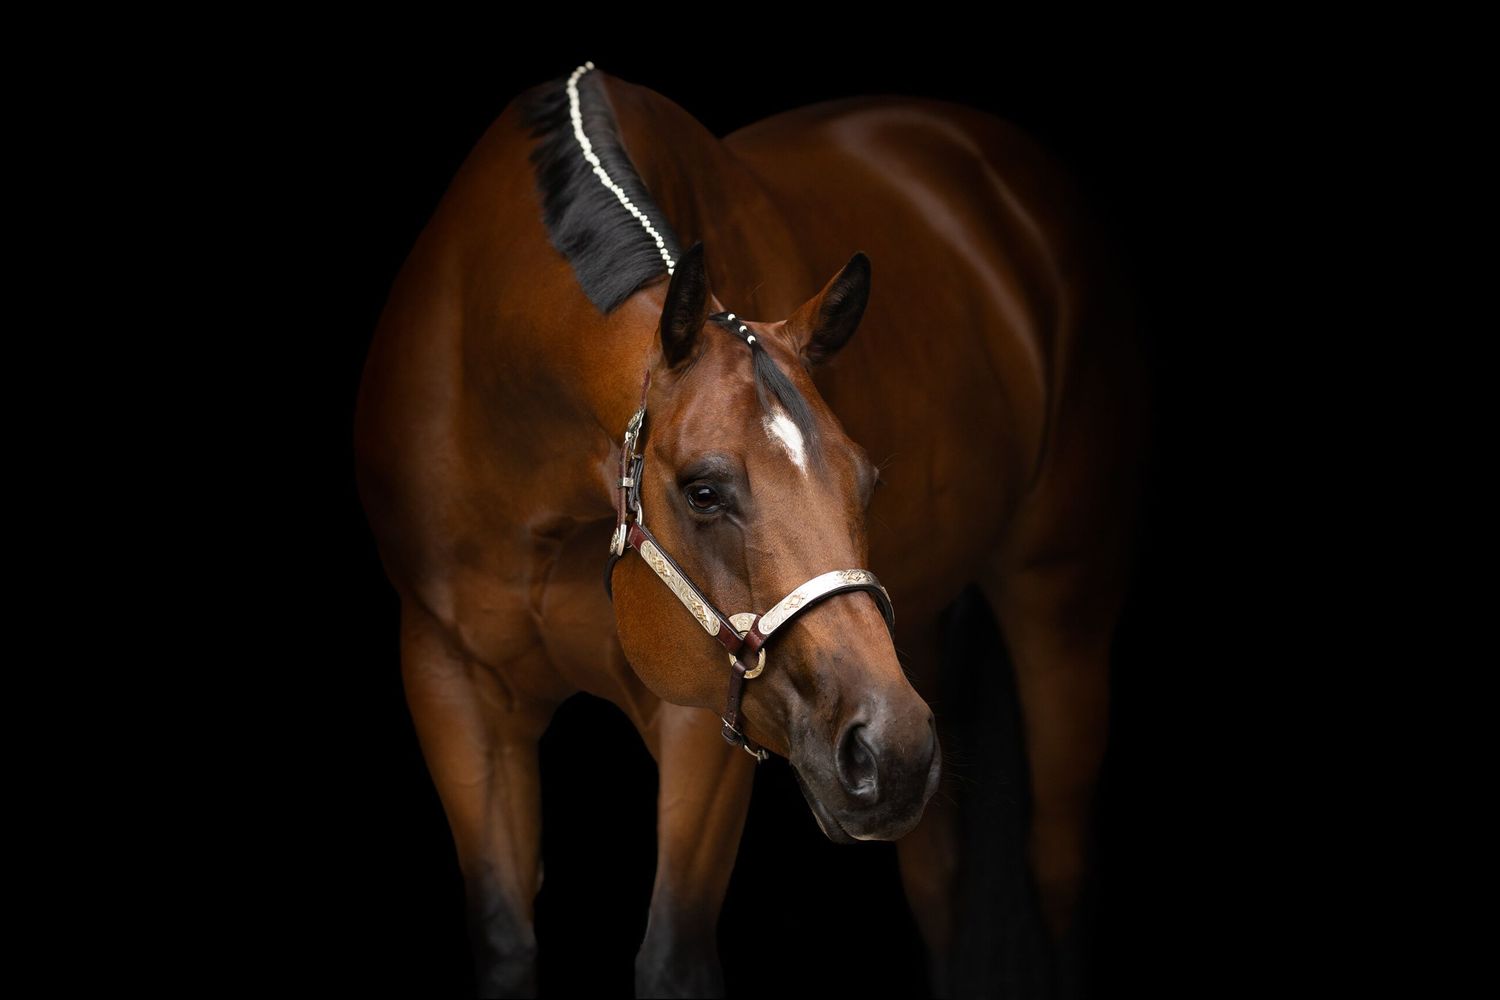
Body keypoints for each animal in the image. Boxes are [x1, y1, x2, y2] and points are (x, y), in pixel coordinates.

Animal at [354, 60, 1149, 998]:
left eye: (865, 480)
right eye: (703, 491)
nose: (890, 750)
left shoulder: (703, 713)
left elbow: (674, 956)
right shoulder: (451, 677)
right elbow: (505, 942)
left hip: (1060, 607)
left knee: (1060, 871)